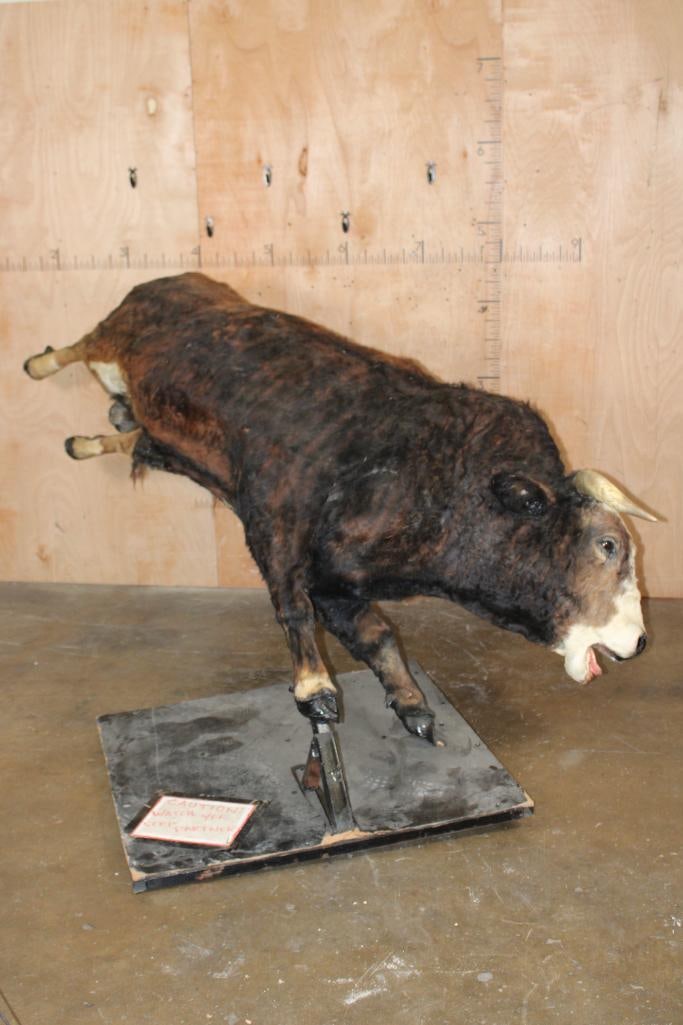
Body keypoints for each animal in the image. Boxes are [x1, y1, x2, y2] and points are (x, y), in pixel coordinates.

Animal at [23, 272, 656, 744]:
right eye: (607, 545)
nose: (642, 641)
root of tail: (173, 279)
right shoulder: (275, 523)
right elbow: (293, 610)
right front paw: (317, 690)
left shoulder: (337, 580)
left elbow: (376, 635)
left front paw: (411, 703)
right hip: (114, 340)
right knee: (81, 345)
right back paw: (38, 365)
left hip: (167, 440)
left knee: (134, 436)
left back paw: (90, 436)